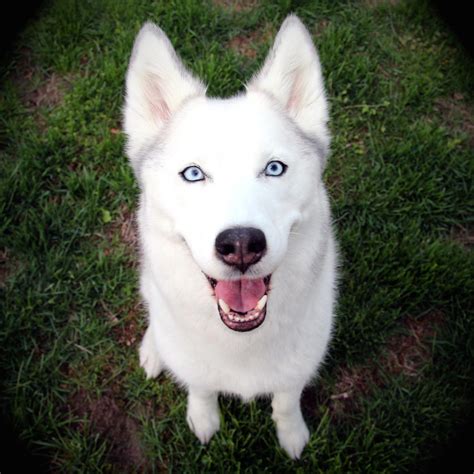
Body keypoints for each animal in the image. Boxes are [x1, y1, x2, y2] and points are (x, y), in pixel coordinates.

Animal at [123, 13, 336, 460]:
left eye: (274, 168)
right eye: (193, 173)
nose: (241, 245)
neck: (242, 344)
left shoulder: (299, 365)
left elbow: (286, 401)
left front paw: (291, 434)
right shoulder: (196, 367)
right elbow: (201, 388)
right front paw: (203, 419)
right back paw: (154, 349)